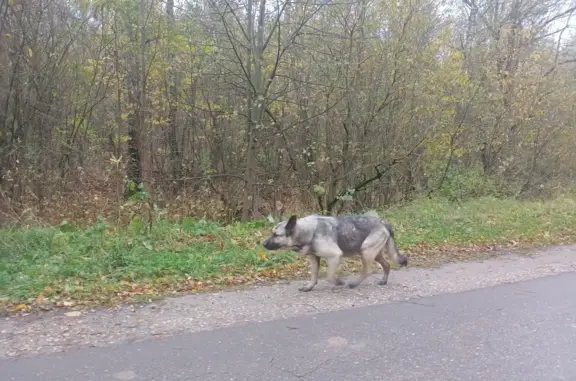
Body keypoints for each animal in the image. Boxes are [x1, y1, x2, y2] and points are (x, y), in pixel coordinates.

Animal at [264, 214, 408, 290]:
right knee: (387, 265)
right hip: (374, 254)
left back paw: (354, 283)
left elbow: (329, 276)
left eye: (275, 235)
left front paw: (339, 282)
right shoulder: (313, 259)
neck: (308, 231)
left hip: (366, 251)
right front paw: (309, 287)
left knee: (368, 271)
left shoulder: (334, 256)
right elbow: (314, 275)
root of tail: (384, 223)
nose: (263, 244)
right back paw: (383, 281)